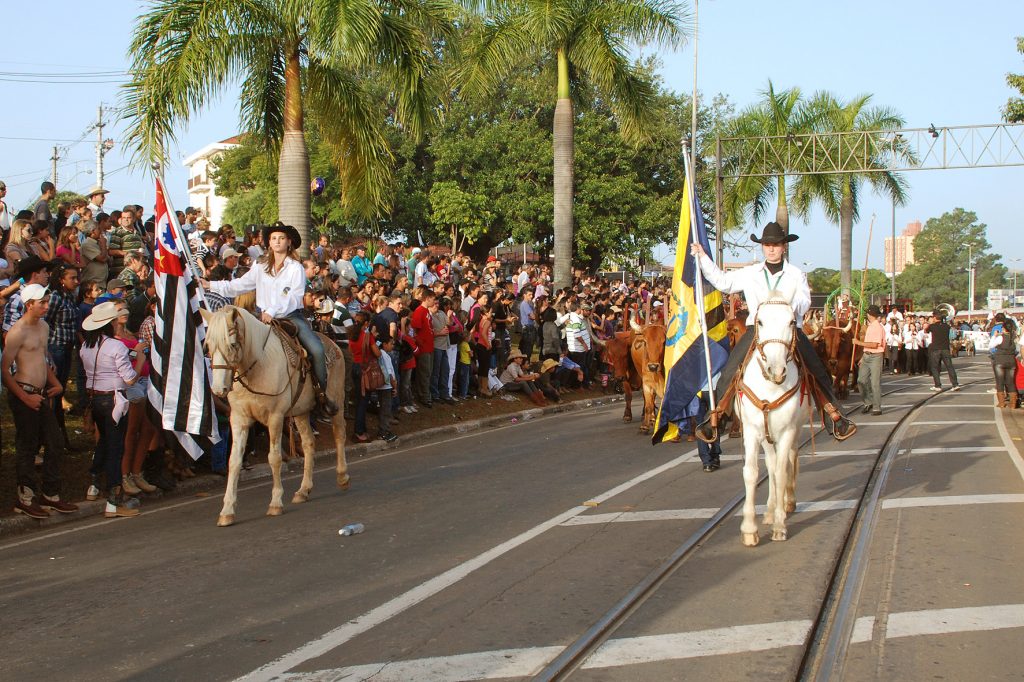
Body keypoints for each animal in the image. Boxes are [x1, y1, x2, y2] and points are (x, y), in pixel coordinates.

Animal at [201, 305, 350, 522]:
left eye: (232, 344)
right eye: (208, 347)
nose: (219, 389)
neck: (257, 366)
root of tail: (334, 344)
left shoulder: (275, 417)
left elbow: (274, 458)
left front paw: (275, 502)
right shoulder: (238, 419)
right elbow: (234, 461)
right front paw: (227, 511)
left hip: (336, 401)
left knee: (339, 435)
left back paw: (342, 476)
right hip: (300, 412)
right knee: (308, 444)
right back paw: (303, 490)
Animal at [737, 294, 806, 544]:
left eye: (791, 322)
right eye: (760, 322)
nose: (776, 370)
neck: (771, 386)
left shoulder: (787, 431)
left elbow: (781, 472)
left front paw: (779, 525)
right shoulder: (751, 430)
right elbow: (752, 473)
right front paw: (749, 529)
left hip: (795, 429)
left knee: (787, 461)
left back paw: (787, 503)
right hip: (767, 436)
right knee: (771, 463)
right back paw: (768, 510)